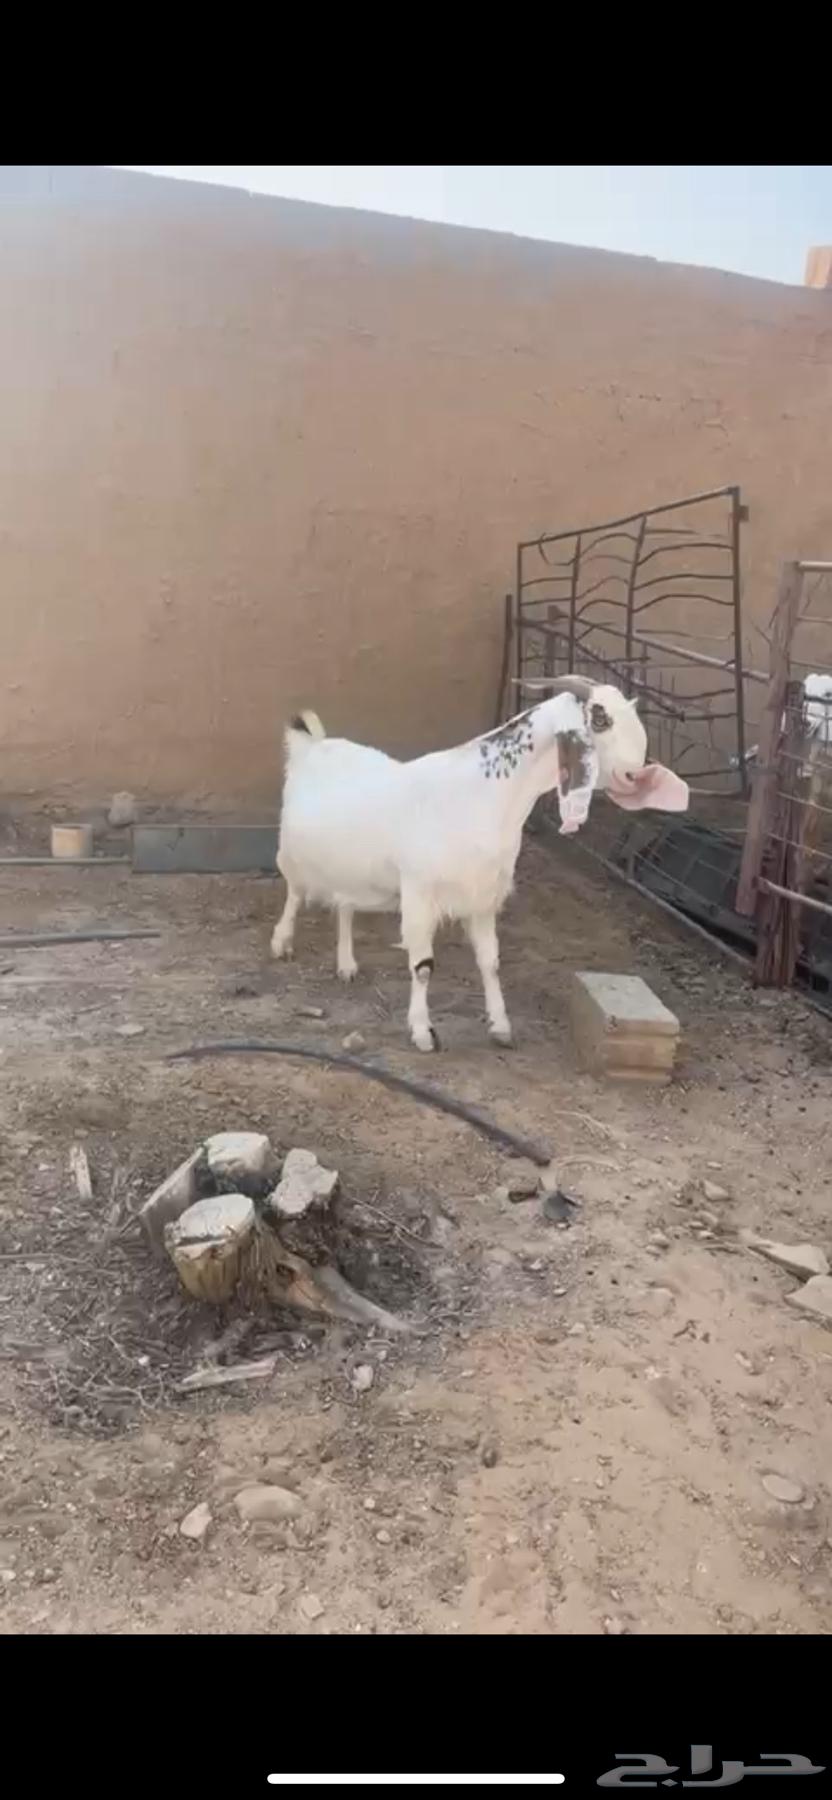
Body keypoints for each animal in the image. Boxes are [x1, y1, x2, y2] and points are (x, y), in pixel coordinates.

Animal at [271, 677, 689, 1052]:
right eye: (600, 720)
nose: (636, 776)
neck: (481, 794)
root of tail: (312, 746)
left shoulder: (483, 897)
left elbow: (490, 962)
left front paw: (500, 1026)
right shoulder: (420, 893)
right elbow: (423, 966)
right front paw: (423, 1033)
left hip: (350, 867)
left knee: (344, 906)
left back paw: (346, 965)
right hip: (291, 853)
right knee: (294, 893)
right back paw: (282, 942)